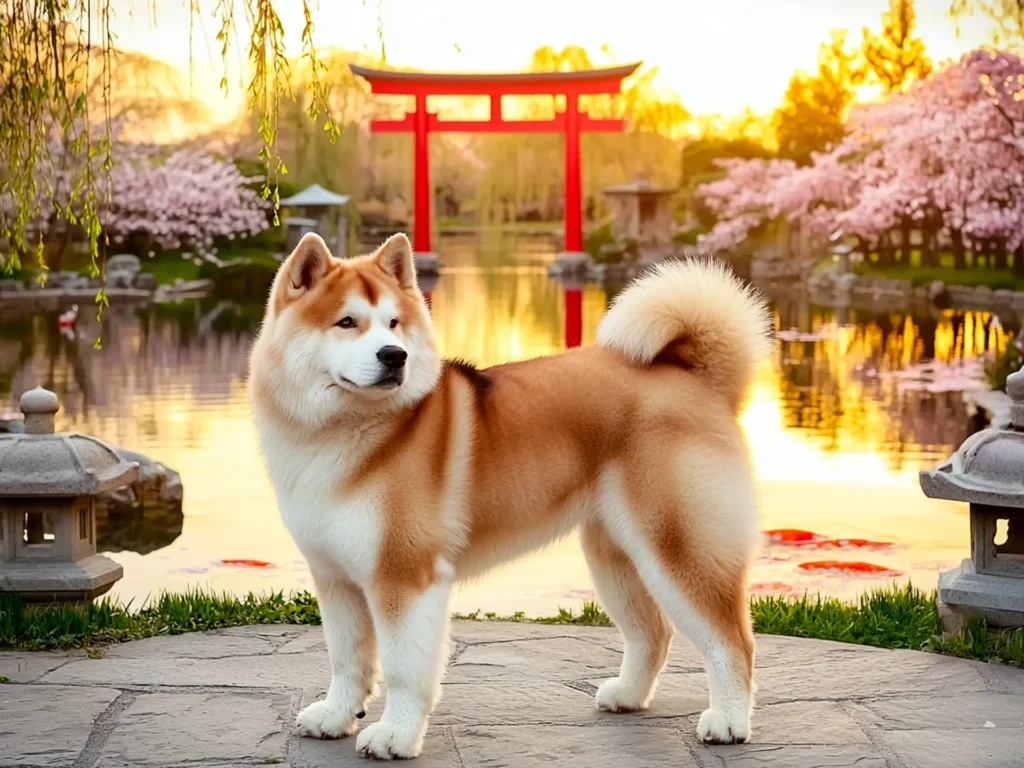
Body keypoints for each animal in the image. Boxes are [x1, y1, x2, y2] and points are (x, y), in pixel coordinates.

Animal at [249, 231, 770, 761]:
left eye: (393, 323)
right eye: (347, 322)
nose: (395, 355)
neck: (347, 432)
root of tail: (697, 377)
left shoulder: (404, 576)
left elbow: (402, 668)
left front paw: (395, 735)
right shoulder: (335, 577)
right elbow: (346, 659)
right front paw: (336, 716)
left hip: (677, 546)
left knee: (731, 642)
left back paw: (728, 722)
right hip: (615, 557)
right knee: (653, 633)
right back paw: (627, 695)